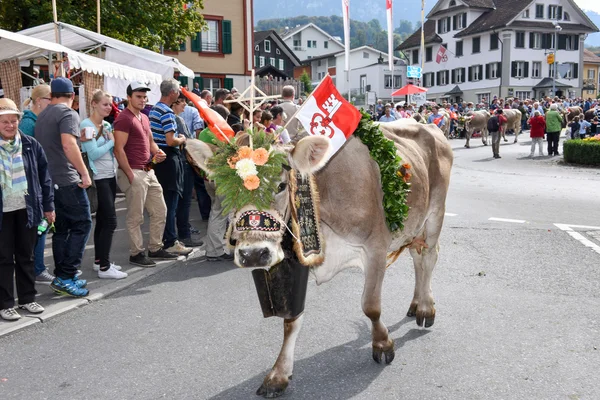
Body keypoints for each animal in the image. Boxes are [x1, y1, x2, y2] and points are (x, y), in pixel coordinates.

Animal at [186, 119, 450, 396]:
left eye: (281, 186)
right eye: (225, 192)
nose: (254, 254)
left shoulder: (376, 246)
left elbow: (371, 305)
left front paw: (382, 344)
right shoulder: (300, 257)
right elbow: (291, 320)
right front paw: (278, 374)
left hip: (435, 211)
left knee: (429, 256)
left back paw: (425, 308)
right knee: (417, 256)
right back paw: (416, 303)